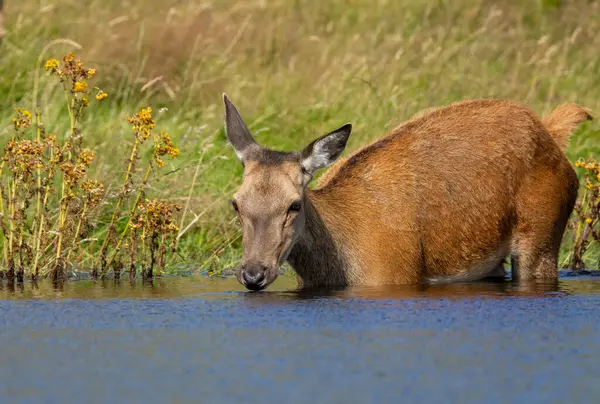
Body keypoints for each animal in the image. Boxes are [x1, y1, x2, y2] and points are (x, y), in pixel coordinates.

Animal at [223, 94, 592, 290]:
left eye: (294, 205)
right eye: (236, 204)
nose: (253, 273)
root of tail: (550, 132)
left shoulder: (396, 276)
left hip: (543, 235)